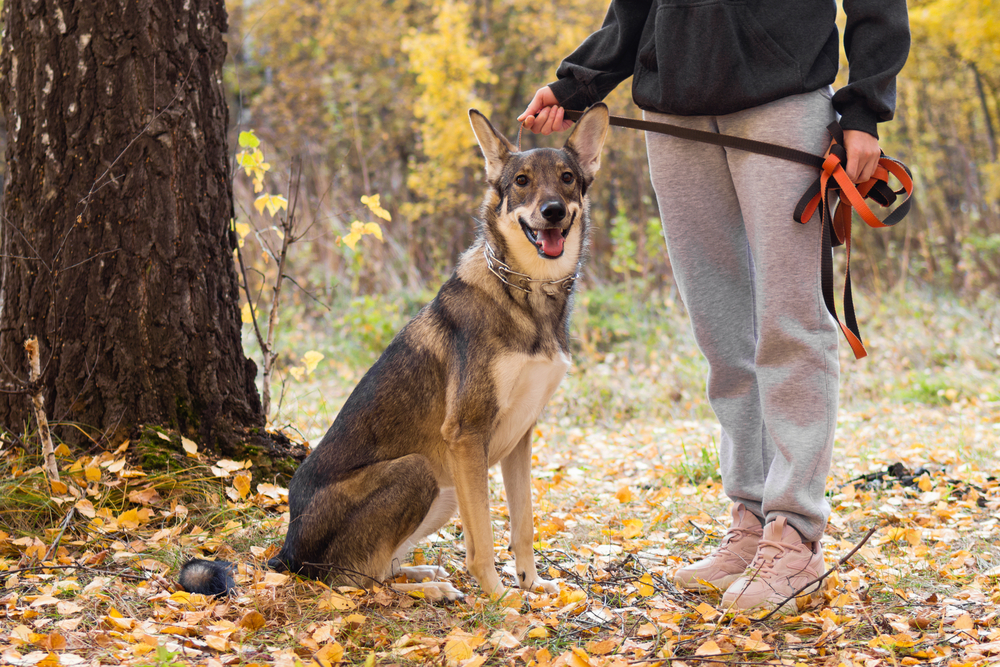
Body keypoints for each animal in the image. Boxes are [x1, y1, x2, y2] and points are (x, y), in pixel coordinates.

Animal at [184, 103, 612, 600]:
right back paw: (432, 589)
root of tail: (287, 553)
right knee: (356, 581)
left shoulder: (520, 438)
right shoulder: (468, 436)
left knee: (380, 569)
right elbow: (483, 540)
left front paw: (533, 582)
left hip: (444, 490)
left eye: (567, 178)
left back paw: (425, 576)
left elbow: (523, 524)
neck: (527, 293)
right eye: (522, 181)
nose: (553, 211)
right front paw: (499, 597)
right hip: (420, 471)